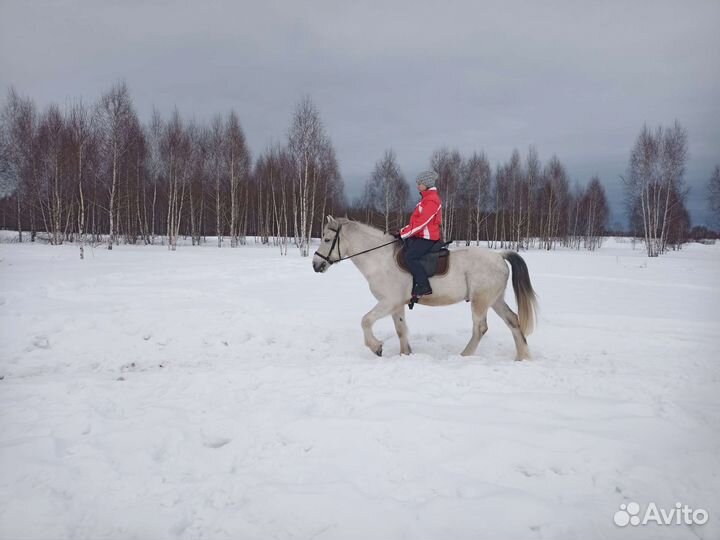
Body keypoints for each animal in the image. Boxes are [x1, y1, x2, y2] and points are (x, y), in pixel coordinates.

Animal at [312, 216, 539, 359]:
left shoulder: (389, 302)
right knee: (513, 321)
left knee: (480, 328)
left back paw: (464, 356)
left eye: (327, 239)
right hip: (495, 300)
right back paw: (522, 357)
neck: (380, 259)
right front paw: (405, 354)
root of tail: (499, 256)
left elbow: (365, 320)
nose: (316, 265)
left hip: (480, 301)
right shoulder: (397, 305)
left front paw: (376, 347)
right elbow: (401, 329)